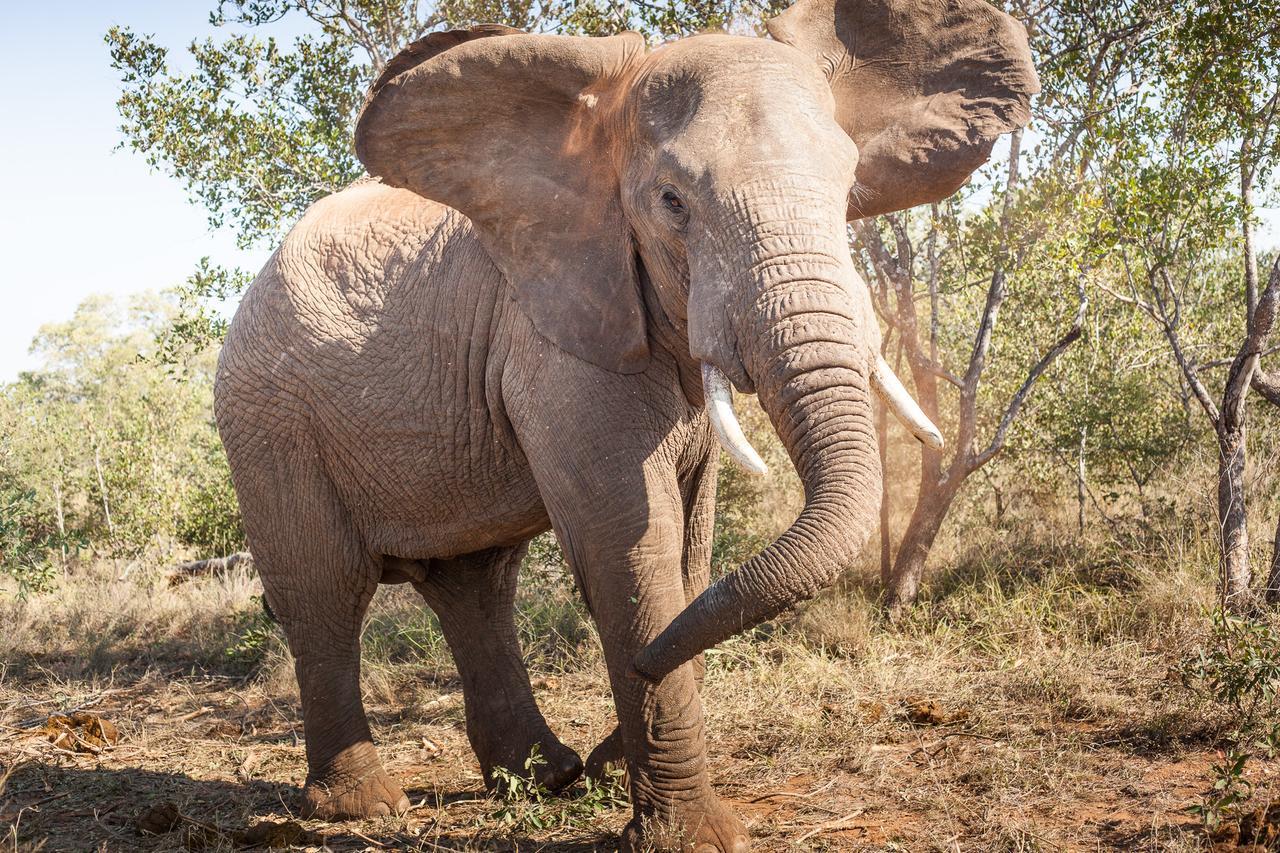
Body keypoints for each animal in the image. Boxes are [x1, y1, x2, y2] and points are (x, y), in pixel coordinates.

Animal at [215, 1, 1034, 845]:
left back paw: (546, 776)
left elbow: (692, 552)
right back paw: (366, 805)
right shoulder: (556, 342)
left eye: (849, 189)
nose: (643, 669)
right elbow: (632, 547)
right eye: (673, 203)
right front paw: (691, 836)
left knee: (477, 585)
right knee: (326, 590)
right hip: (267, 417)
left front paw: (620, 768)